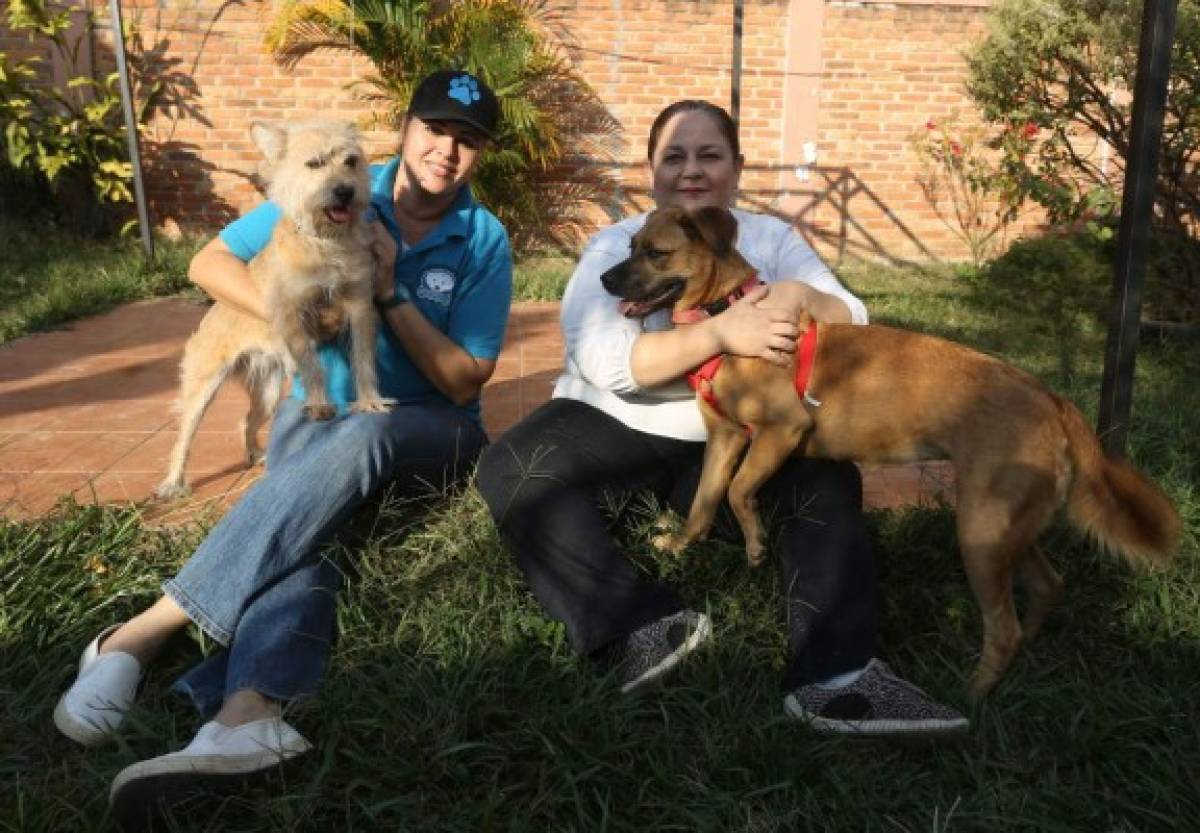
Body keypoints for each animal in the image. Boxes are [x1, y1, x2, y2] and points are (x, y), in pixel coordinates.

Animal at [156, 120, 388, 499]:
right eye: (314, 164)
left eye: (351, 161)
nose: (345, 191)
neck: (325, 242)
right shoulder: (293, 314)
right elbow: (312, 365)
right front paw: (320, 403)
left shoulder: (359, 307)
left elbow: (364, 359)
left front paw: (369, 402)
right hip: (201, 389)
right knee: (183, 437)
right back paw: (173, 481)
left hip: (266, 393)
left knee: (246, 421)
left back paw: (255, 453)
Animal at [600, 205, 1180, 700]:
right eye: (630, 245)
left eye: (656, 252)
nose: (604, 280)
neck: (724, 320)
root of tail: (1052, 399)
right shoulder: (726, 437)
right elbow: (704, 499)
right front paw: (682, 544)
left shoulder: (781, 430)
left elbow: (740, 491)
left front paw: (756, 544)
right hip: (1007, 529)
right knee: (1047, 587)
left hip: (981, 533)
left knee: (1004, 628)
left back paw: (971, 697)